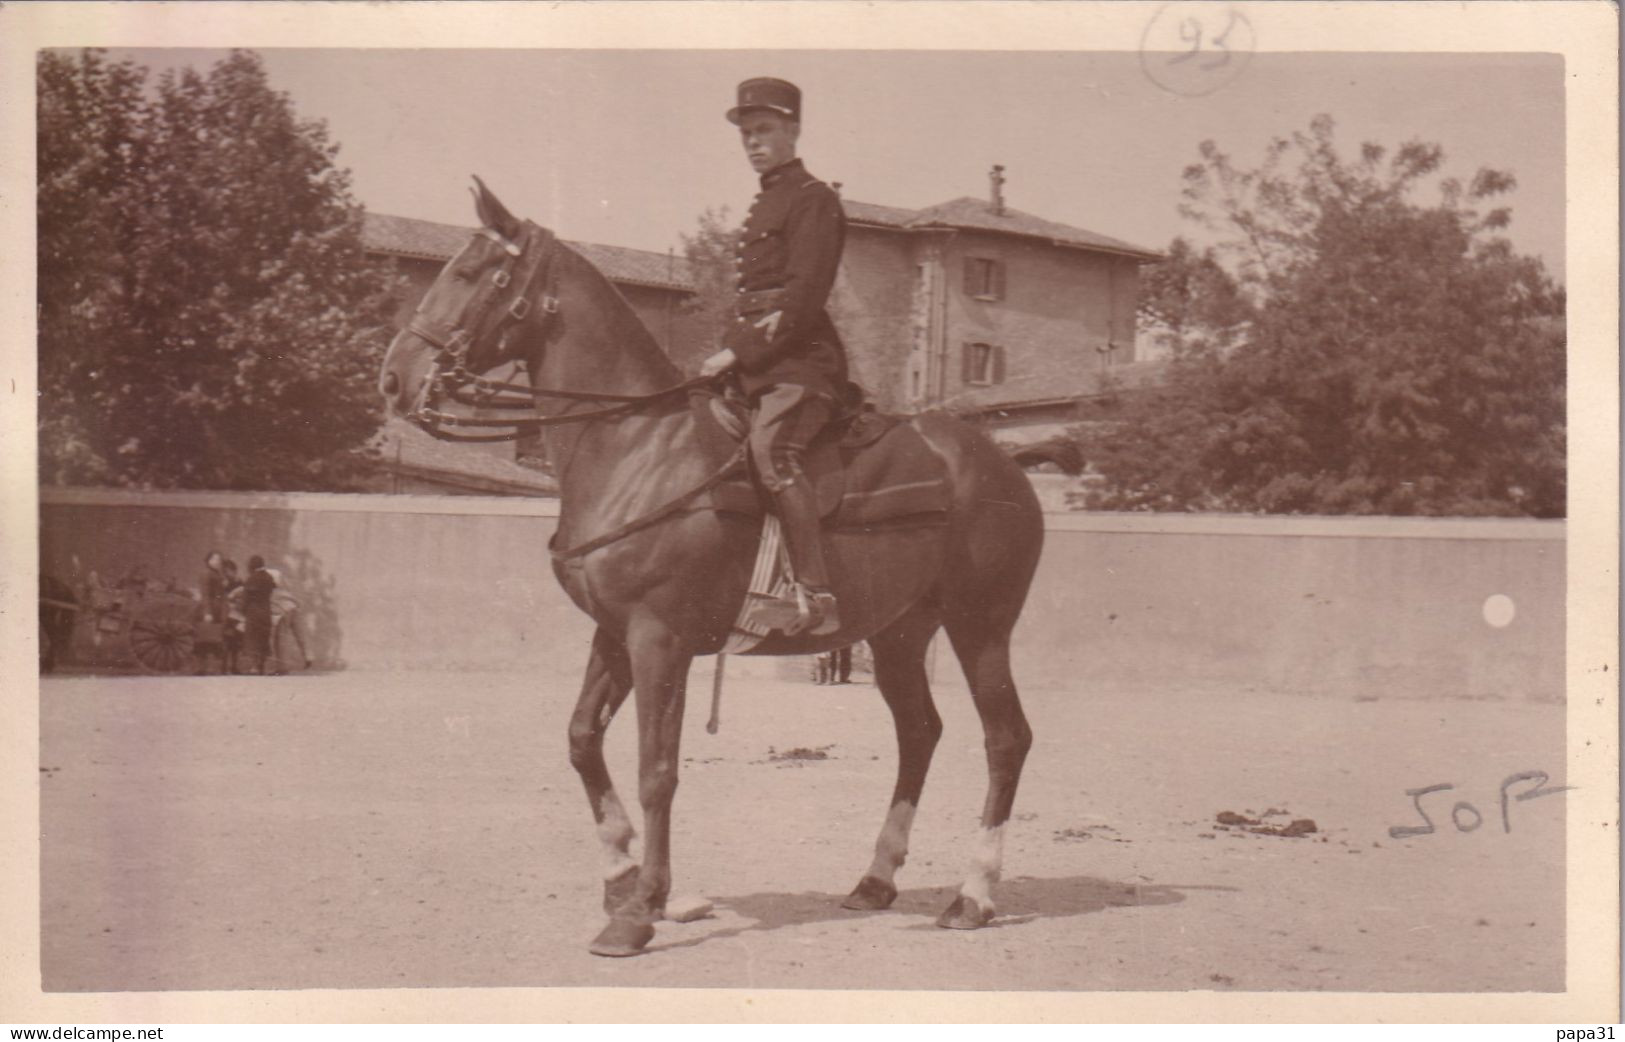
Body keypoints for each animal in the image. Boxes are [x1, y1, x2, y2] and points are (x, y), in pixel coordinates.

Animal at [378, 179, 1044, 957]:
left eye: (474, 272)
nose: (395, 378)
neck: (636, 445)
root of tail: (1000, 464)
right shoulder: (615, 634)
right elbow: (581, 741)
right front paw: (621, 874)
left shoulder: (658, 640)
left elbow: (657, 771)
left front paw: (641, 909)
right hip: (899, 634)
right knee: (920, 733)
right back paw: (876, 880)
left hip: (979, 626)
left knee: (1005, 739)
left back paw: (974, 895)